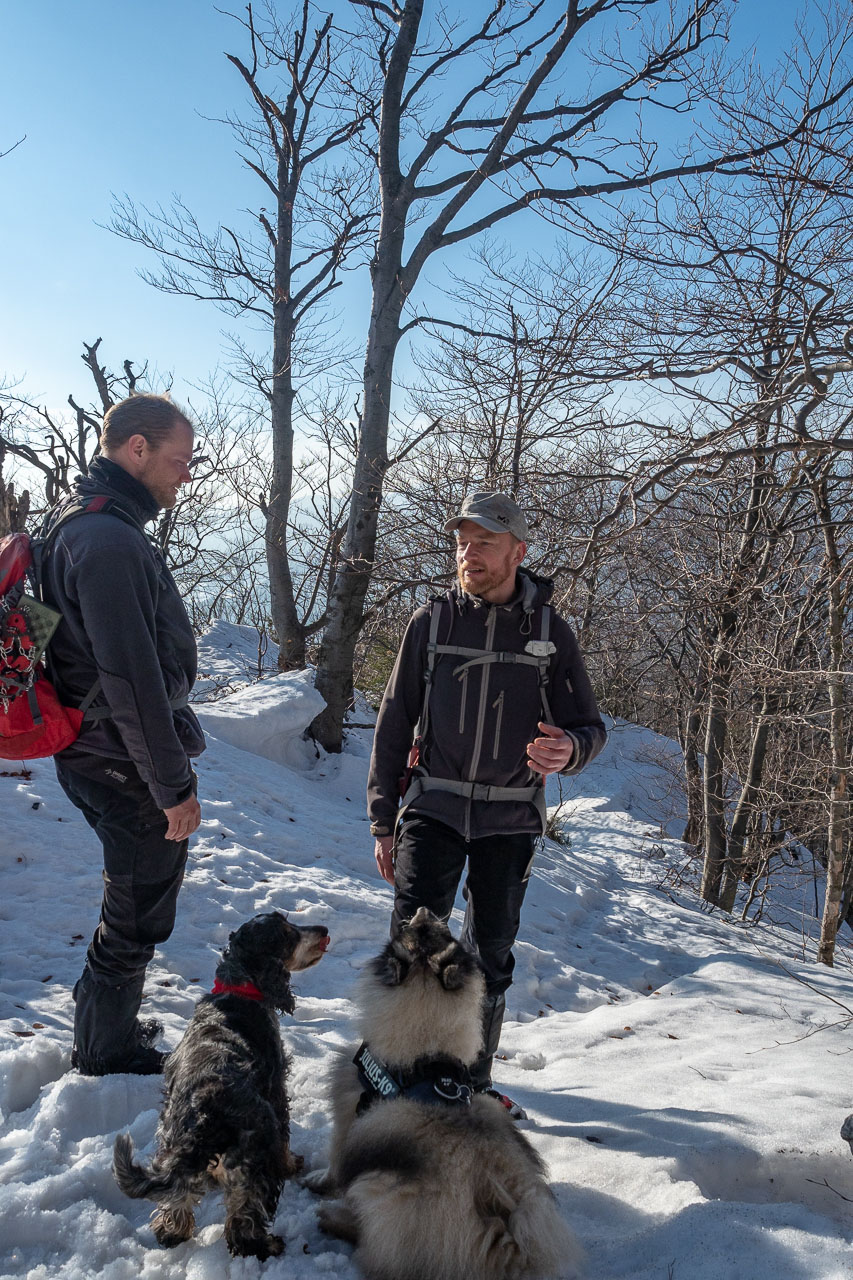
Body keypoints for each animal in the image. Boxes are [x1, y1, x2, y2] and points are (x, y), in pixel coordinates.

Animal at [111, 911, 326, 1259]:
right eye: (288, 933)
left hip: (169, 1141)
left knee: (178, 1198)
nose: (323, 930)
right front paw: (293, 1164)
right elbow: (285, 1138)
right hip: (254, 1155)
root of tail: (205, 1114)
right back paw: (266, 1245)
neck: (238, 988)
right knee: (244, 1217)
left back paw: (172, 1232)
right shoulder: (276, 1087)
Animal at [312, 911, 584, 1280]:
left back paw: (333, 1219)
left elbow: (334, 1163)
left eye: (416, 930)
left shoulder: (347, 1117)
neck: (424, 1052)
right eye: (438, 932)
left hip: (378, 1194)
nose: (425, 910)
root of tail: (504, 1246)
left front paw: (316, 1181)